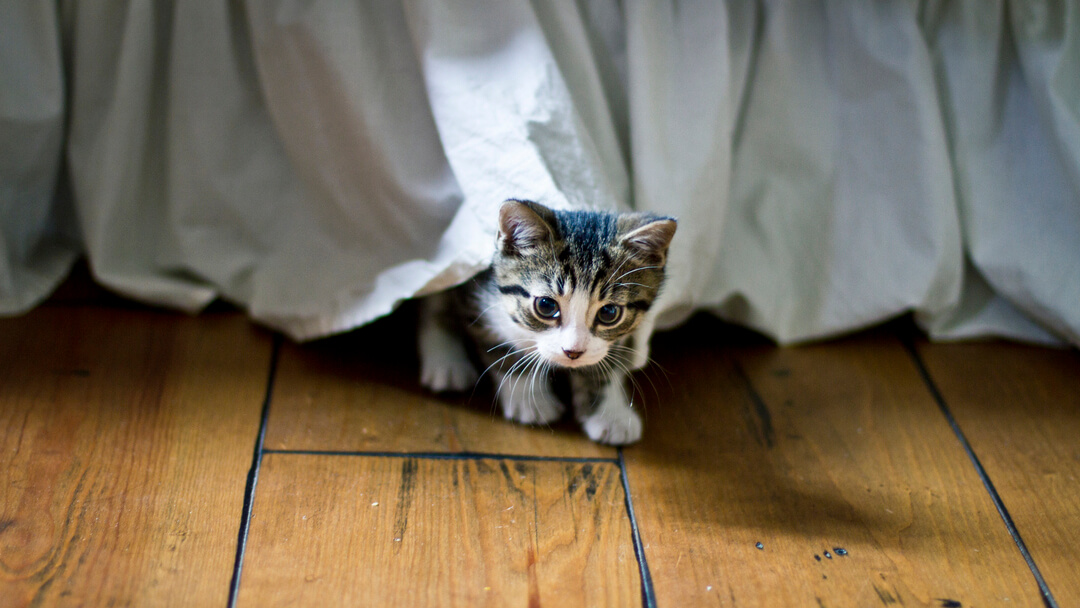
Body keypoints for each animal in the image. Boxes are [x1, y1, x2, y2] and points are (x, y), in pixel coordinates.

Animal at [414, 201, 673, 444]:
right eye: (546, 306)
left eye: (609, 312)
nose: (573, 352)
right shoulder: (477, 291)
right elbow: (502, 346)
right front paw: (531, 400)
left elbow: (606, 358)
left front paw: (610, 413)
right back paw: (446, 362)